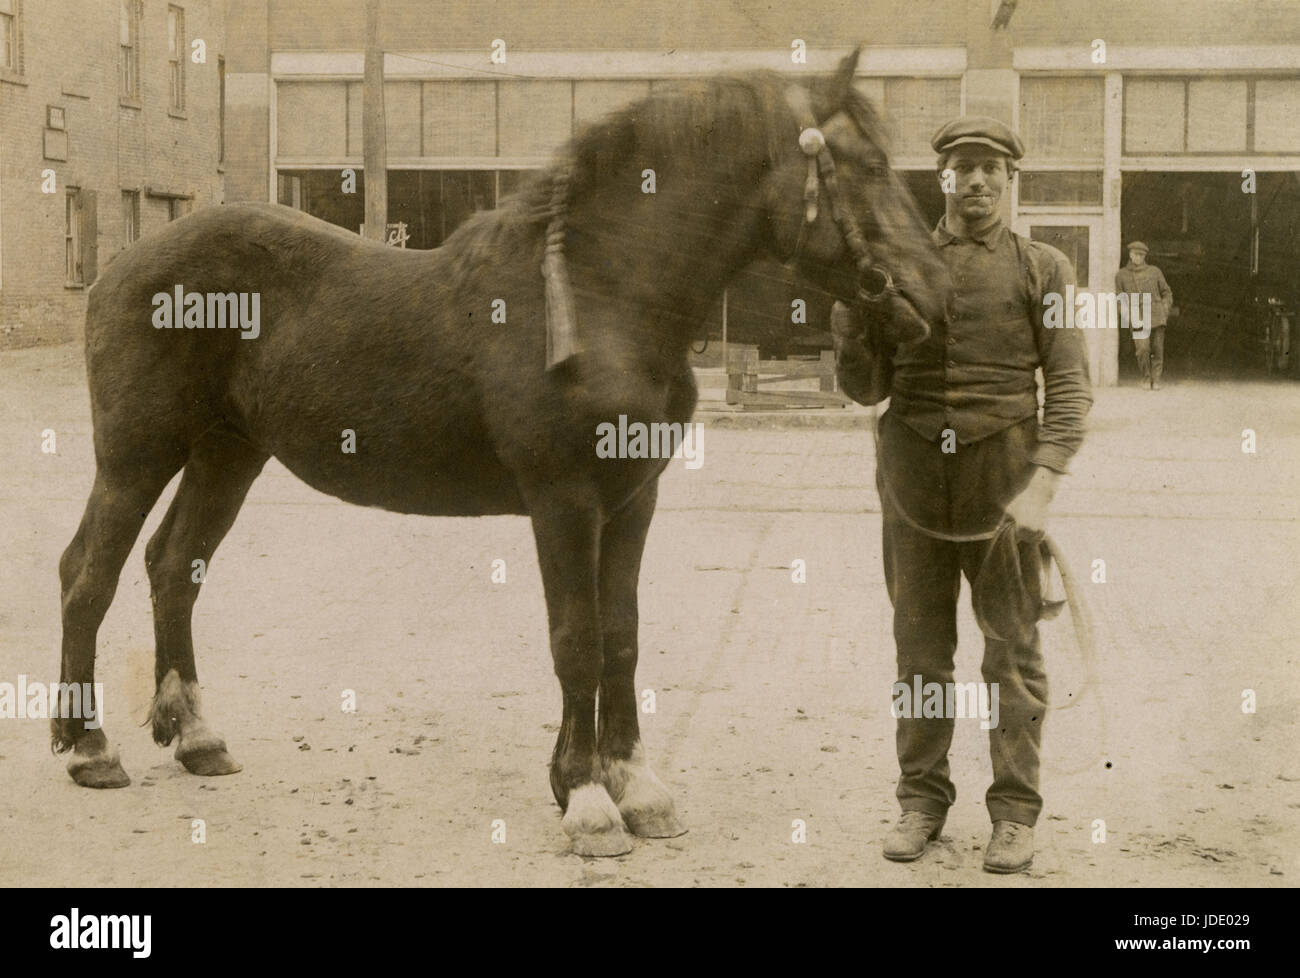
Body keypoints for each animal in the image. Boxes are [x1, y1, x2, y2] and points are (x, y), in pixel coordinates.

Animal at [55, 49, 951, 853]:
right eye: (868, 165)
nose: (934, 296)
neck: (601, 297)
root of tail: (121, 266)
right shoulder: (564, 500)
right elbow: (577, 640)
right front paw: (587, 801)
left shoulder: (634, 500)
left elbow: (621, 635)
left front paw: (635, 787)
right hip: (136, 456)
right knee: (88, 575)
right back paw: (89, 748)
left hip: (227, 455)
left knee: (174, 568)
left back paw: (198, 738)